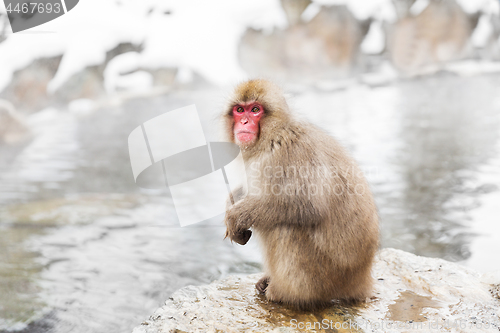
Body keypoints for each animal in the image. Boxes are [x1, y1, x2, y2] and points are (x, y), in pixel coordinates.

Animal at [223, 78, 378, 308]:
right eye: (240, 110)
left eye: (255, 110)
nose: (243, 122)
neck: (272, 136)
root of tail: (362, 278)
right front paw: (230, 204)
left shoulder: (289, 152)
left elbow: (307, 205)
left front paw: (234, 216)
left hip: (321, 277)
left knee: (285, 225)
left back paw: (286, 293)